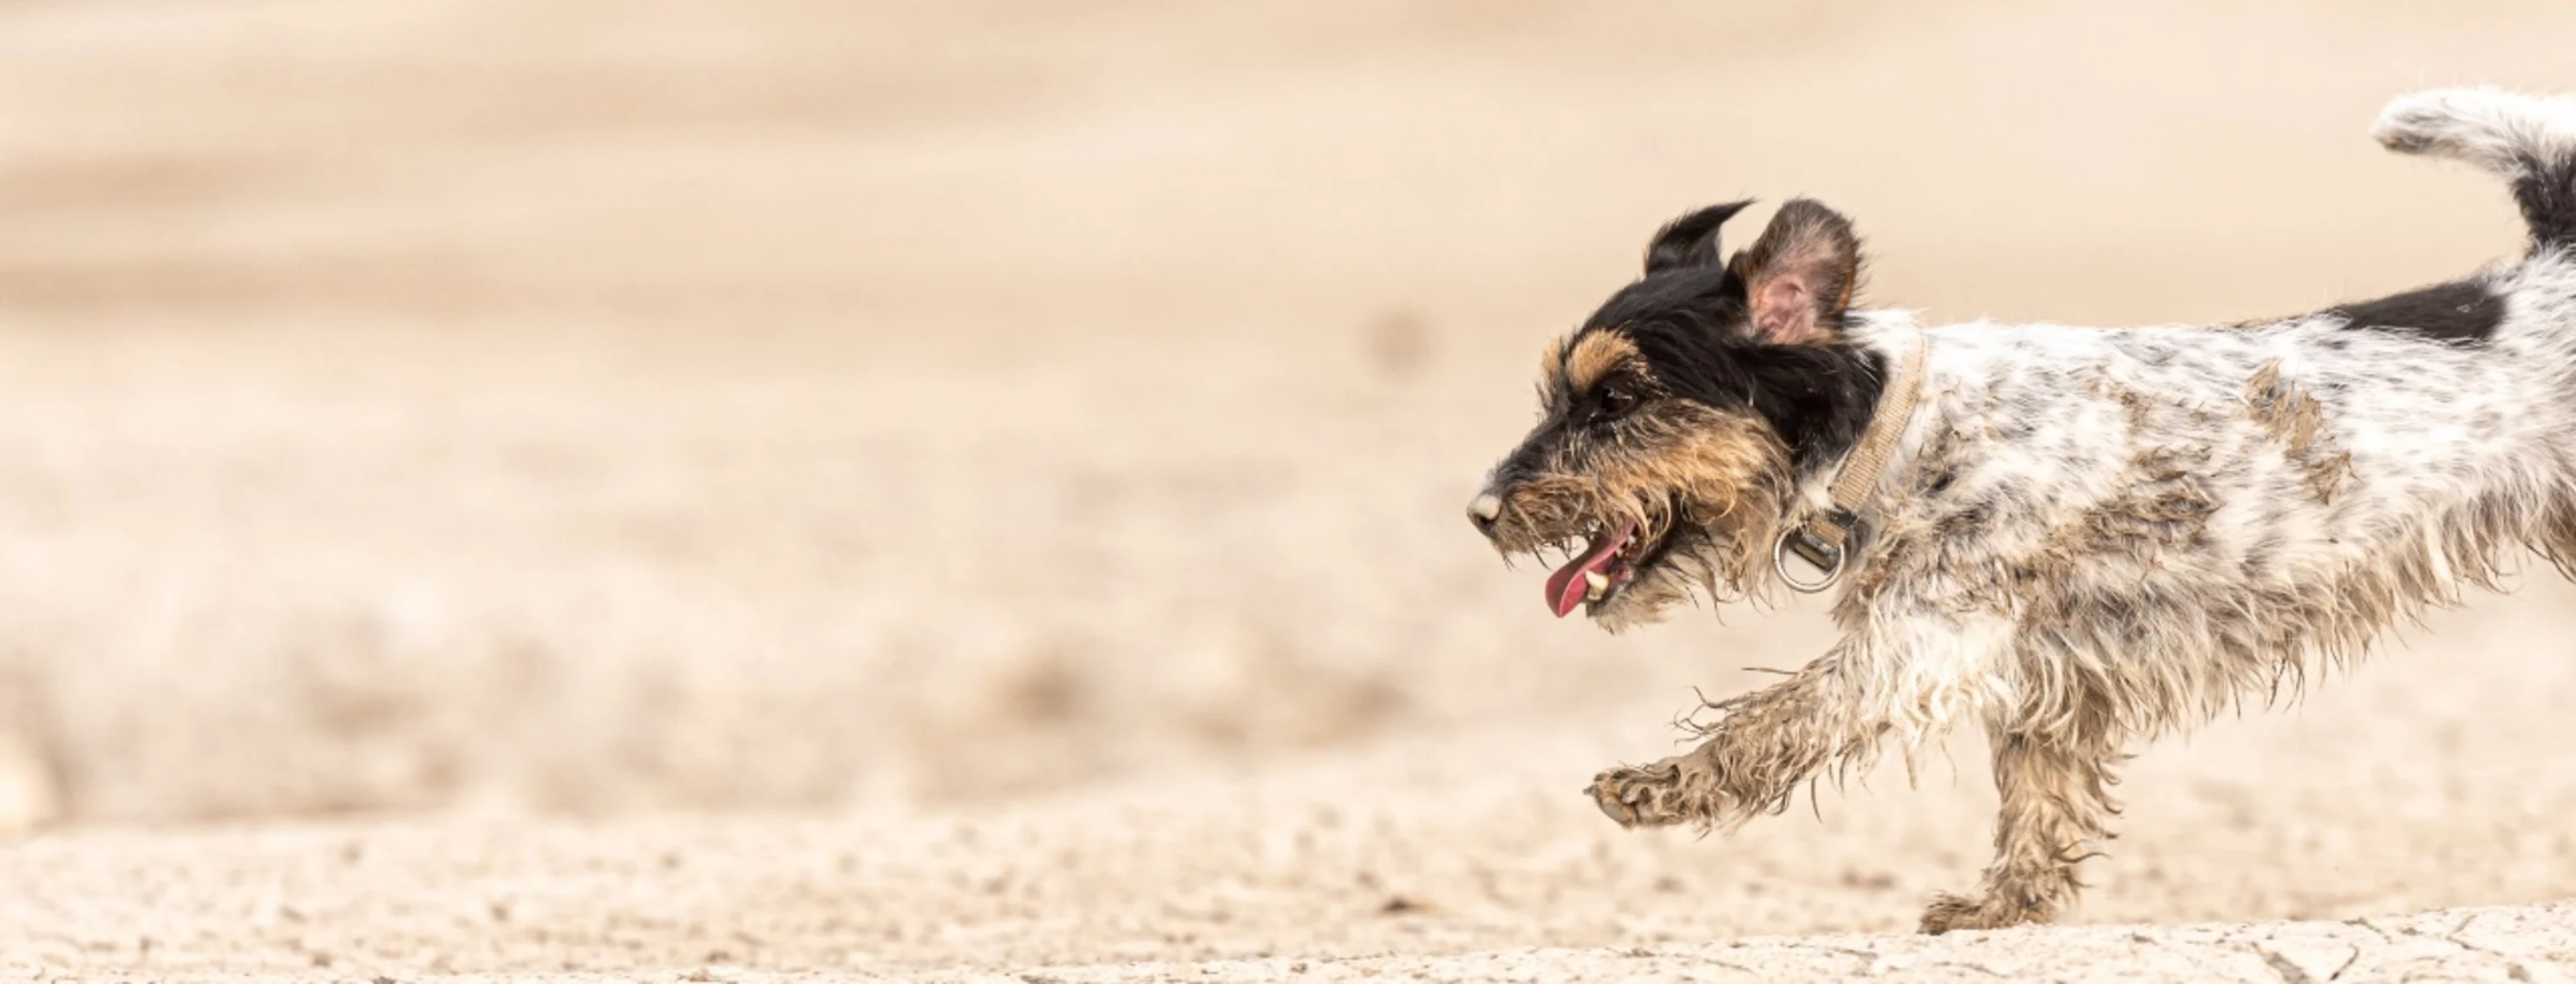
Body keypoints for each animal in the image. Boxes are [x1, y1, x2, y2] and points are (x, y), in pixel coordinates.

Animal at [1473, 88, 2576, 932]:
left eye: (1618, 398)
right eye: (1563, 394)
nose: (1481, 511)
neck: (1899, 428)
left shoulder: (1916, 645)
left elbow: (1771, 723)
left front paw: (1660, 785)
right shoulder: (2048, 674)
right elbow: (2038, 804)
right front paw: (2003, 908)